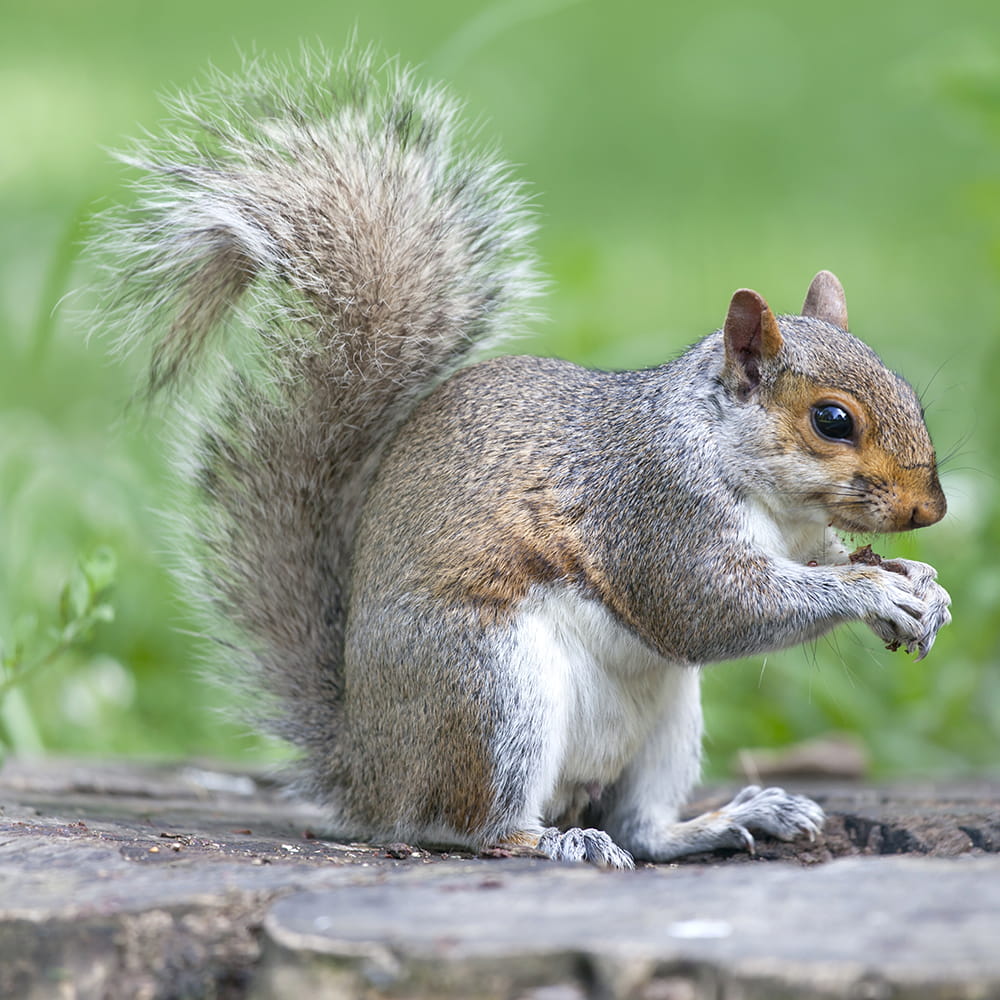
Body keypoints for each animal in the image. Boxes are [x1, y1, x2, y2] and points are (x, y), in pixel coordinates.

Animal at [97, 51, 952, 869]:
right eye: (832, 421)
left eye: (910, 393)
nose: (931, 510)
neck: (759, 484)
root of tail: (368, 774)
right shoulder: (655, 508)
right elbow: (712, 607)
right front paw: (872, 590)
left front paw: (921, 585)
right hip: (490, 690)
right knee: (475, 826)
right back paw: (553, 840)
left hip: (667, 718)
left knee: (642, 827)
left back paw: (724, 820)